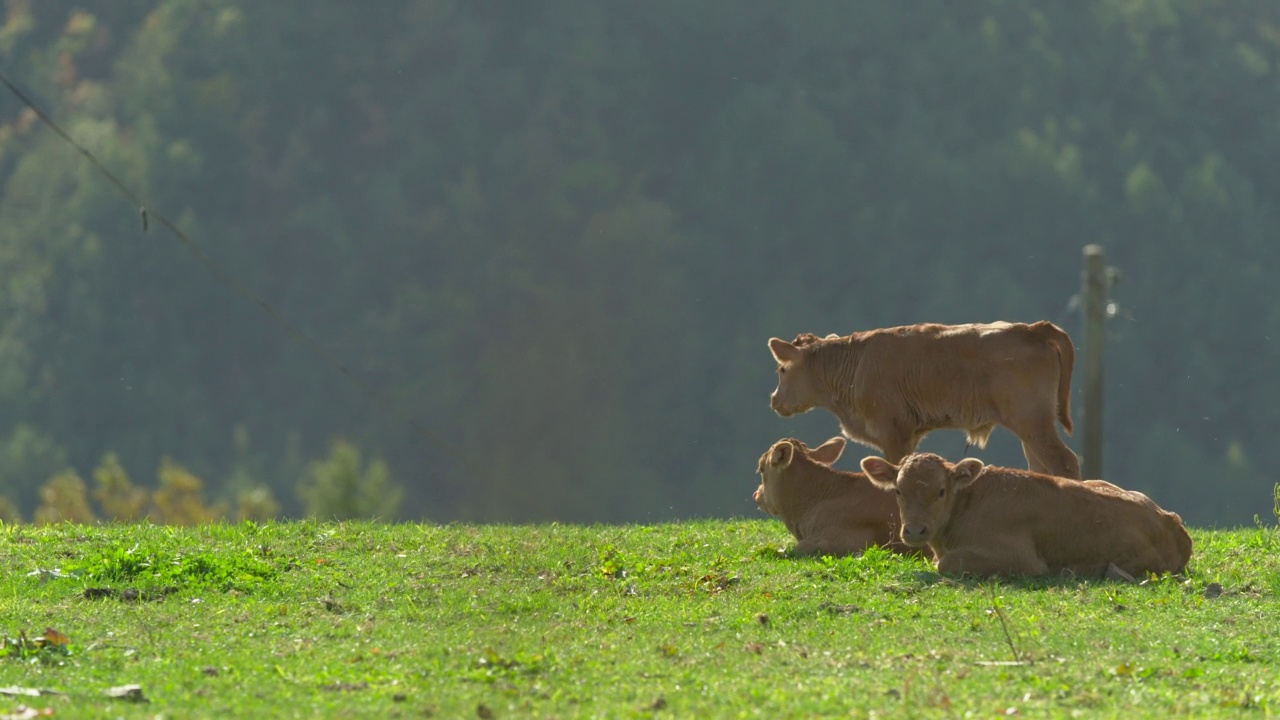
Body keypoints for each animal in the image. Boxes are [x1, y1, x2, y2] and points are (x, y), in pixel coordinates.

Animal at [768, 322, 1080, 479]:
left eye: (782, 369)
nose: (774, 400)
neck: (856, 364)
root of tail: (1031, 328)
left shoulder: (893, 432)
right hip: (1030, 427)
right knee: (1041, 466)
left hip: (1032, 421)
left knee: (1064, 462)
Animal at [860, 450, 1187, 573]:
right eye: (898, 490)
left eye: (940, 491)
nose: (915, 530)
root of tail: (1169, 519)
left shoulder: (1021, 559)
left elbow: (946, 565)